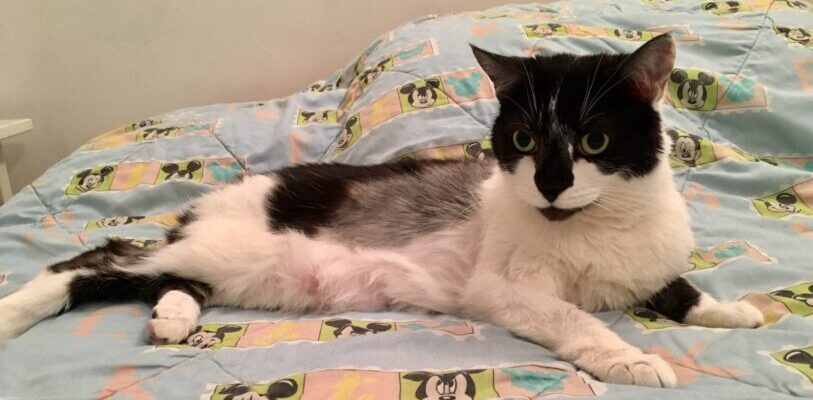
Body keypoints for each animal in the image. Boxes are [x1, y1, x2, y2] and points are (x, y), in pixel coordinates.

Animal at [0, 34, 760, 388]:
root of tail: (208, 203)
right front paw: (631, 358)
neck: (595, 227)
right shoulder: (501, 289)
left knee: (163, 280)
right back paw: (17, 310)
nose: (548, 183)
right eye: (522, 140)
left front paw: (733, 310)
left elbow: (675, 285)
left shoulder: (647, 258)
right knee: (98, 260)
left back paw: (174, 315)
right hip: (228, 247)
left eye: (594, 141)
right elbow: (575, 317)